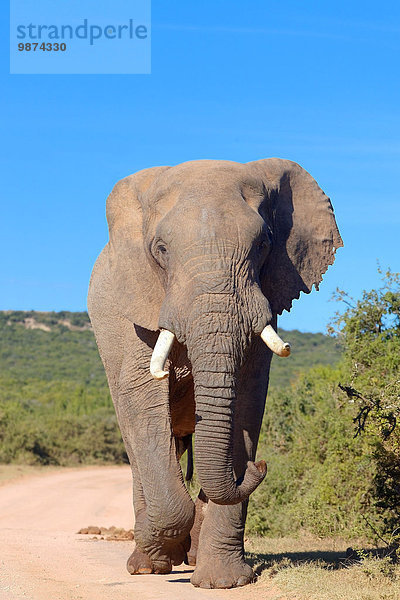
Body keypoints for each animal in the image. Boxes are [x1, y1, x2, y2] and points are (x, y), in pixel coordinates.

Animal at [86, 157, 340, 588]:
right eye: (161, 250)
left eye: (263, 245)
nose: (261, 466)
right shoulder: (133, 311)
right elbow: (141, 401)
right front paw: (167, 549)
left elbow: (248, 405)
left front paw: (225, 581)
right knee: (142, 445)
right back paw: (149, 562)